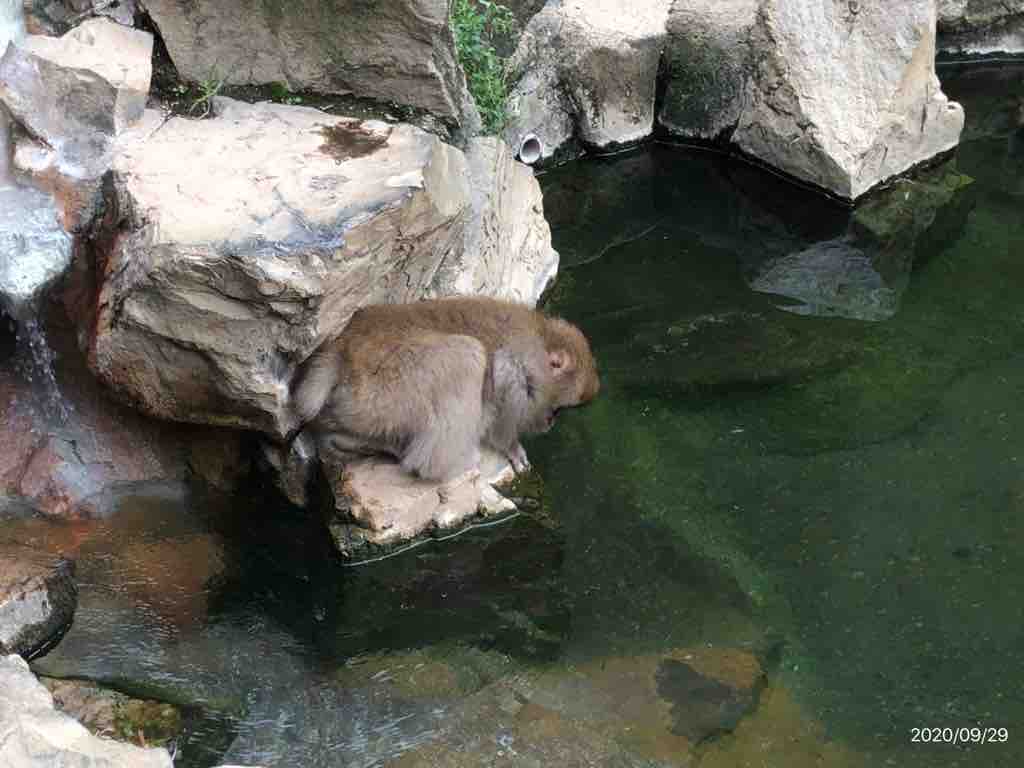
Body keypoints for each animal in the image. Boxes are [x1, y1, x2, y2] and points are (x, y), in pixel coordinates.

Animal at [290, 296, 600, 482]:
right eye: (557, 408)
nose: (550, 421)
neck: (540, 338)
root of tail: (340, 349)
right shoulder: (516, 367)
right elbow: (502, 392)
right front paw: (511, 446)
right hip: (382, 390)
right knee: (467, 355)